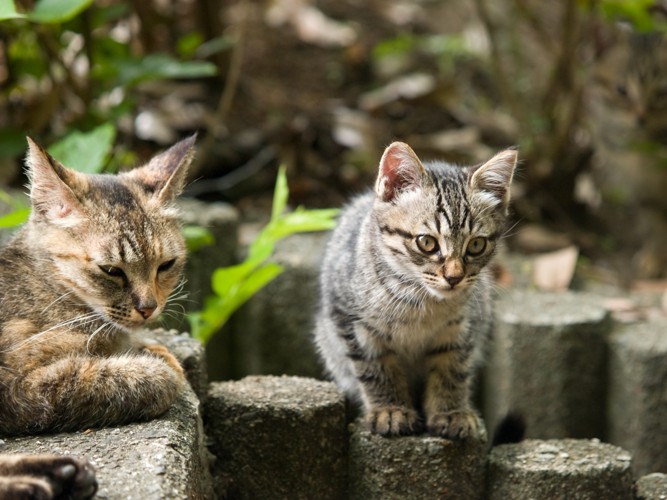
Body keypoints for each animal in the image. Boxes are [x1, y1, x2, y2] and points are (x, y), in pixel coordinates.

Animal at [0, 136, 194, 438]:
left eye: (166, 265)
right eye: (111, 270)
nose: (148, 308)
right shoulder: (19, 385)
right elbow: (130, 379)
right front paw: (159, 365)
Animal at [314, 141, 516, 438]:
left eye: (476, 245)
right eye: (427, 242)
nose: (454, 277)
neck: (420, 301)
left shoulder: (463, 329)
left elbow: (452, 369)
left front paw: (451, 412)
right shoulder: (350, 320)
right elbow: (376, 368)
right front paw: (390, 410)